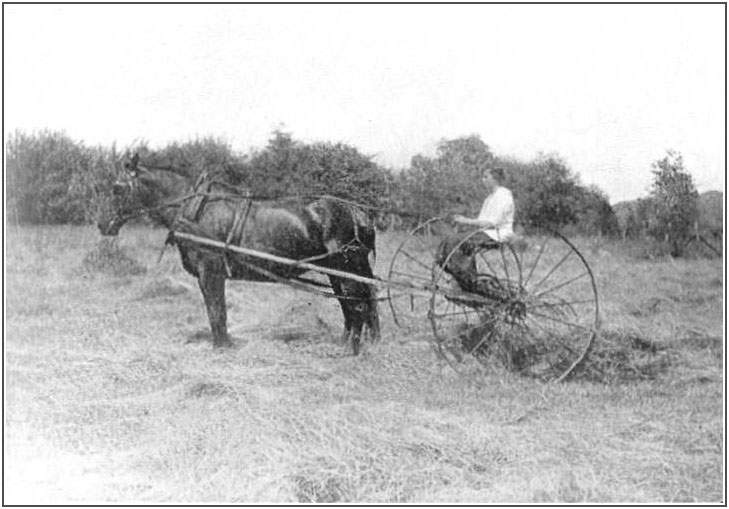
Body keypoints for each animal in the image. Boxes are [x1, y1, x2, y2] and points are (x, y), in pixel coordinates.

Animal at [97, 153, 382, 356]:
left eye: (117, 188)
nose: (102, 224)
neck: (194, 211)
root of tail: (357, 213)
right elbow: (214, 311)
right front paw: (223, 343)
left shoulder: (210, 271)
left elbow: (217, 310)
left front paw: (222, 347)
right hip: (336, 270)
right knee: (353, 301)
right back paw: (347, 342)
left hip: (345, 266)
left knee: (357, 303)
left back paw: (351, 349)